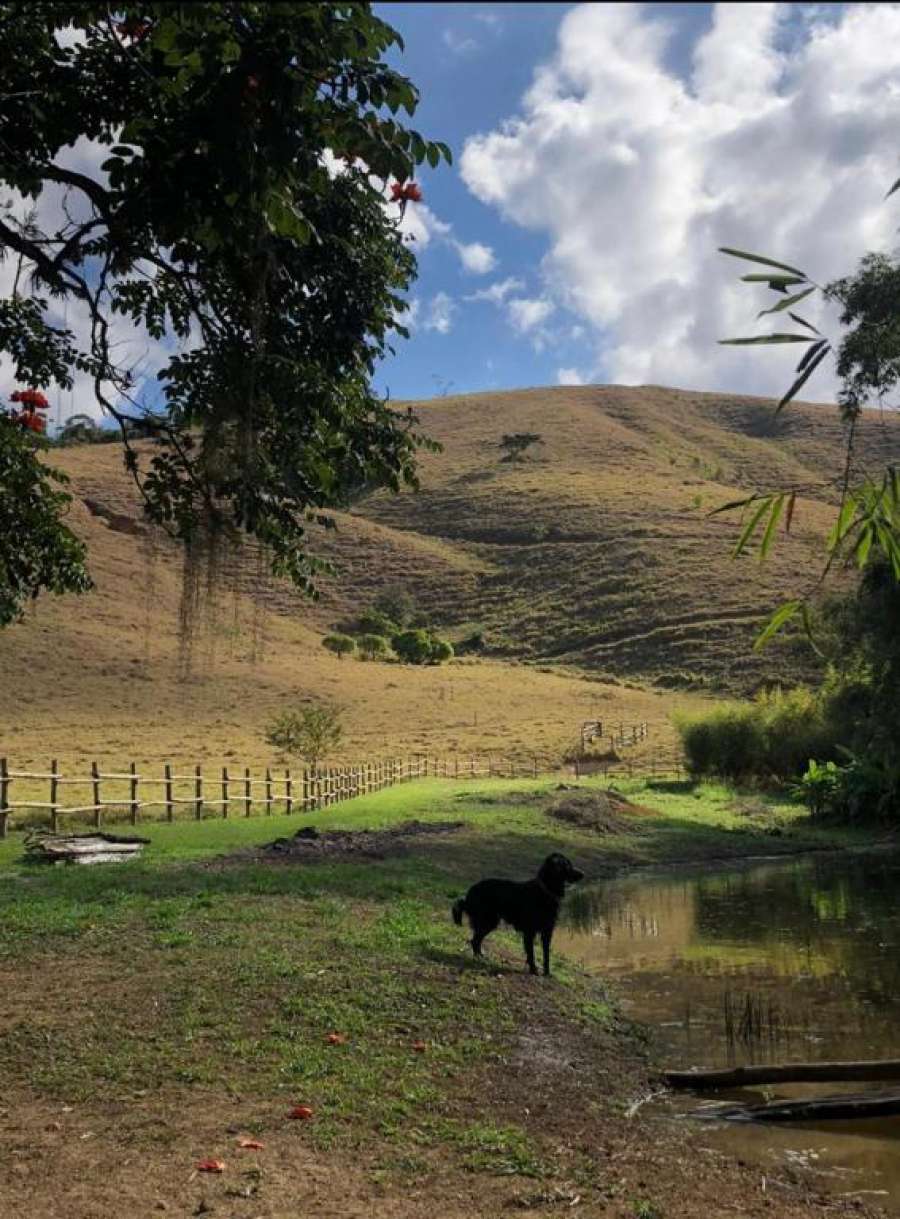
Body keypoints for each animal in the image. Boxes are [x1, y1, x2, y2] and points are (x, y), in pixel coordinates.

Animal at [448, 853, 582, 975]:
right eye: (567, 865)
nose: (583, 874)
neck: (545, 891)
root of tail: (469, 894)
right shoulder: (529, 932)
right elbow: (531, 953)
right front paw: (533, 970)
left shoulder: (547, 932)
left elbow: (546, 955)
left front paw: (547, 973)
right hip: (488, 921)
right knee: (475, 940)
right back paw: (479, 958)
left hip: (490, 922)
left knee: (476, 940)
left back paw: (481, 957)